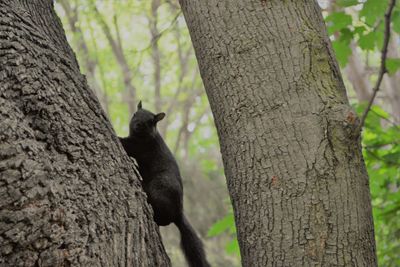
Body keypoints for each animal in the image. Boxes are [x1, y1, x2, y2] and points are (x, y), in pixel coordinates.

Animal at [119, 101, 211, 267]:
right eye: (135, 114)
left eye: (151, 121)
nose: (137, 124)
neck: (143, 136)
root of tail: (179, 212)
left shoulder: (139, 146)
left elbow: (126, 144)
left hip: (160, 190)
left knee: (165, 220)